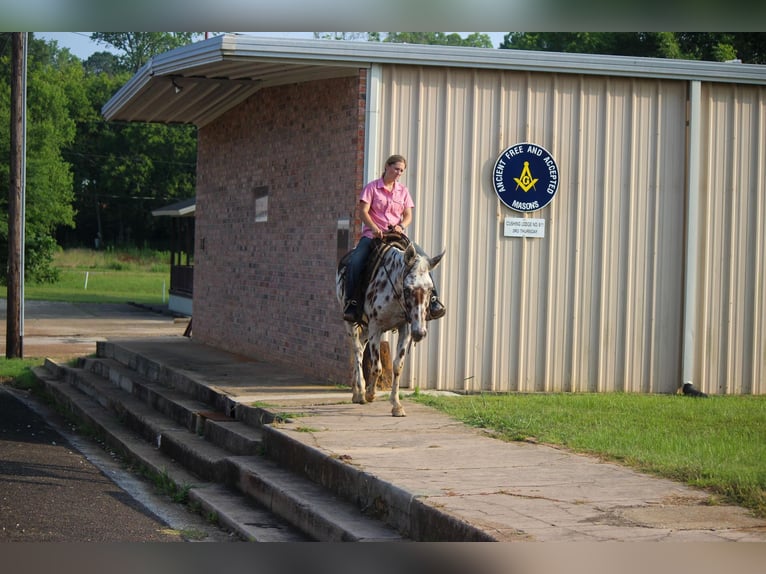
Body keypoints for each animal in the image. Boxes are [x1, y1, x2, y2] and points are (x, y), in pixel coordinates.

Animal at [336, 234, 444, 418]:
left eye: (430, 290)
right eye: (407, 289)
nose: (420, 332)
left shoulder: (405, 329)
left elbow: (397, 366)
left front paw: (396, 405)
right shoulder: (375, 328)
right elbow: (377, 367)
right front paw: (370, 394)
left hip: (366, 329)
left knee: (361, 347)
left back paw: (356, 390)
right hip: (350, 322)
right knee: (357, 350)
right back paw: (360, 392)